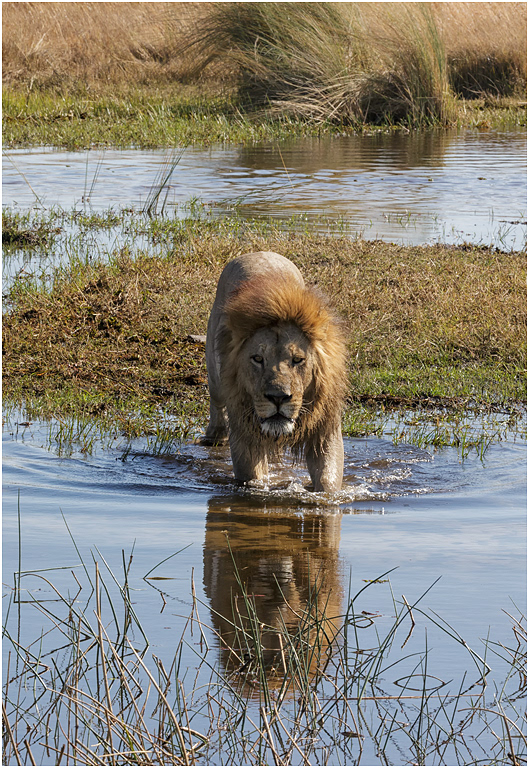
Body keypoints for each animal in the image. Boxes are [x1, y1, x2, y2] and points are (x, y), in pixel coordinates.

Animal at [199, 252, 348, 492]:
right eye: (258, 359)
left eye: (297, 360)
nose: (278, 398)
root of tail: (257, 253)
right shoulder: (245, 433)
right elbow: (253, 479)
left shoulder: (325, 430)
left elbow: (327, 480)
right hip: (216, 375)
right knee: (217, 402)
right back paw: (215, 436)